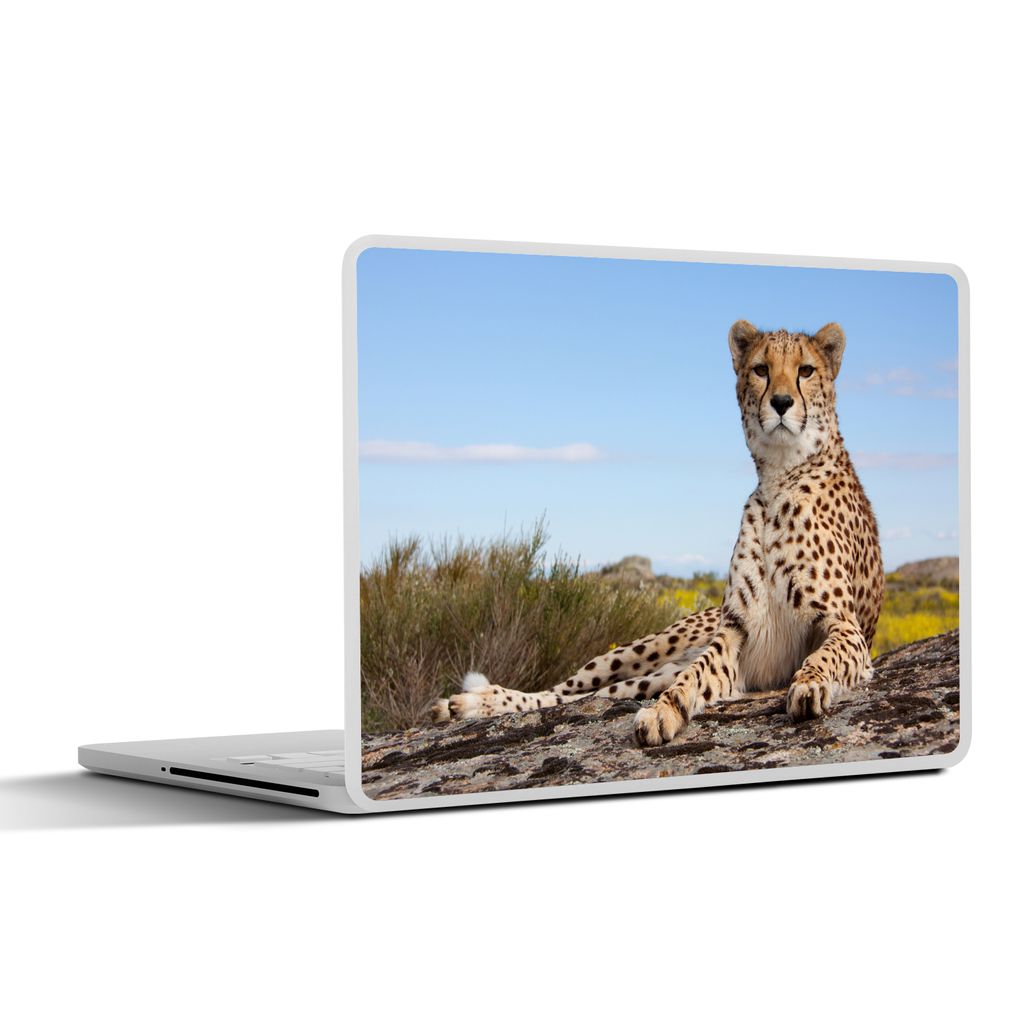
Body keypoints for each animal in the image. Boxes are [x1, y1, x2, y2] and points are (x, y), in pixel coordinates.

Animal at [430, 320, 885, 748]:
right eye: (761, 370)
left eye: (805, 370)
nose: (782, 402)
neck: (779, 475)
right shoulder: (734, 632)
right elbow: (696, 676)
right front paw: (664, 712)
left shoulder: (845, 628)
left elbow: (823, 657)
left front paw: (809, 684)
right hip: (642, 651)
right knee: (565, 692)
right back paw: (473, 702)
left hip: (650, 673)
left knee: (594, 696)